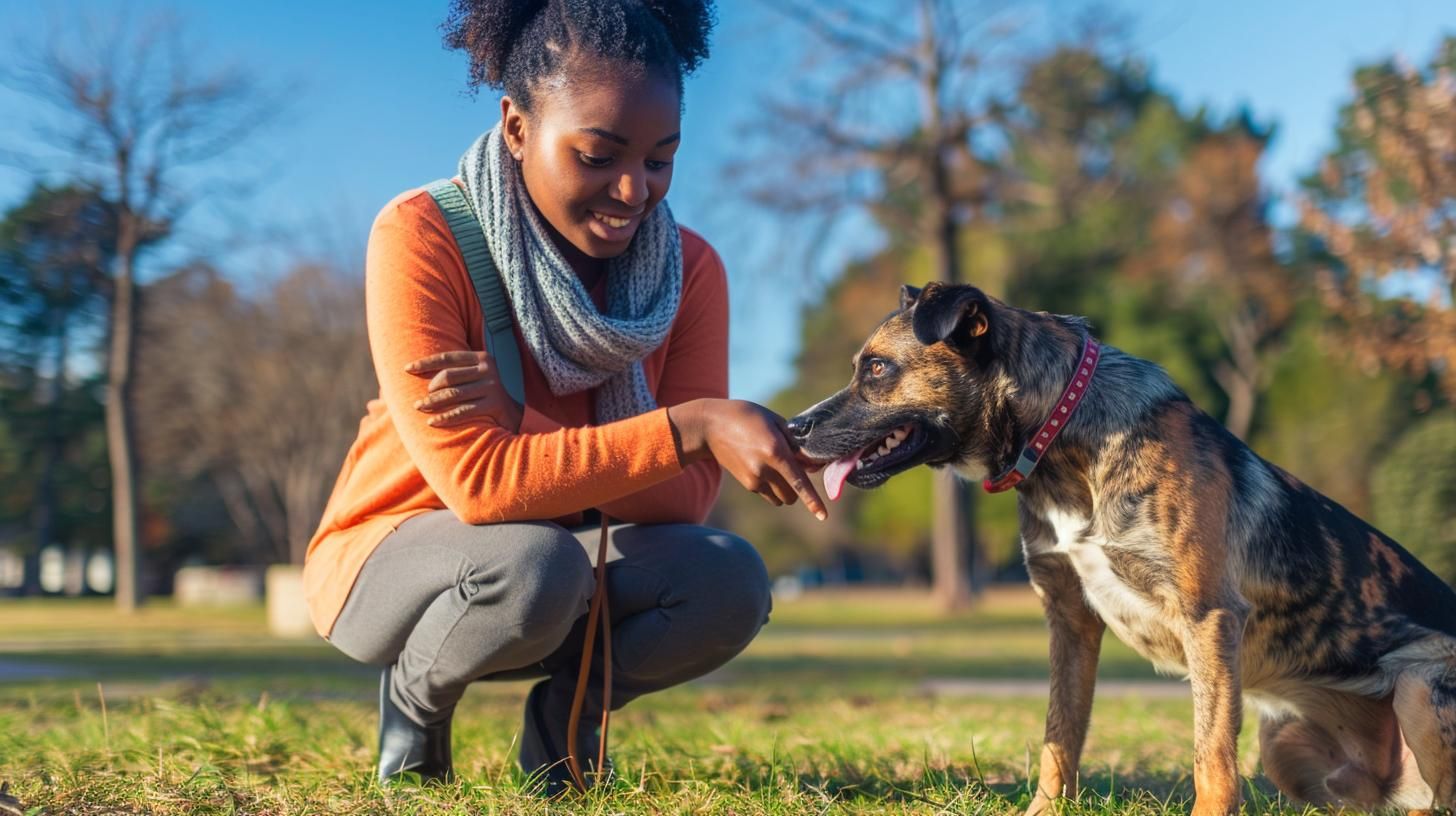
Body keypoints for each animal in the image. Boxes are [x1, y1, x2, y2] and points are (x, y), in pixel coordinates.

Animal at [792, 282, 1456, 816]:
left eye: (878, 368)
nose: (795, 428)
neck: (1062, 437)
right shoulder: (1070, 620)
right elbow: (1059, 738)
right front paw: (1044, 810)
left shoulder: (1209, 619)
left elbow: (1211, 755)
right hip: (1285, 739)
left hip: (1419, 689)